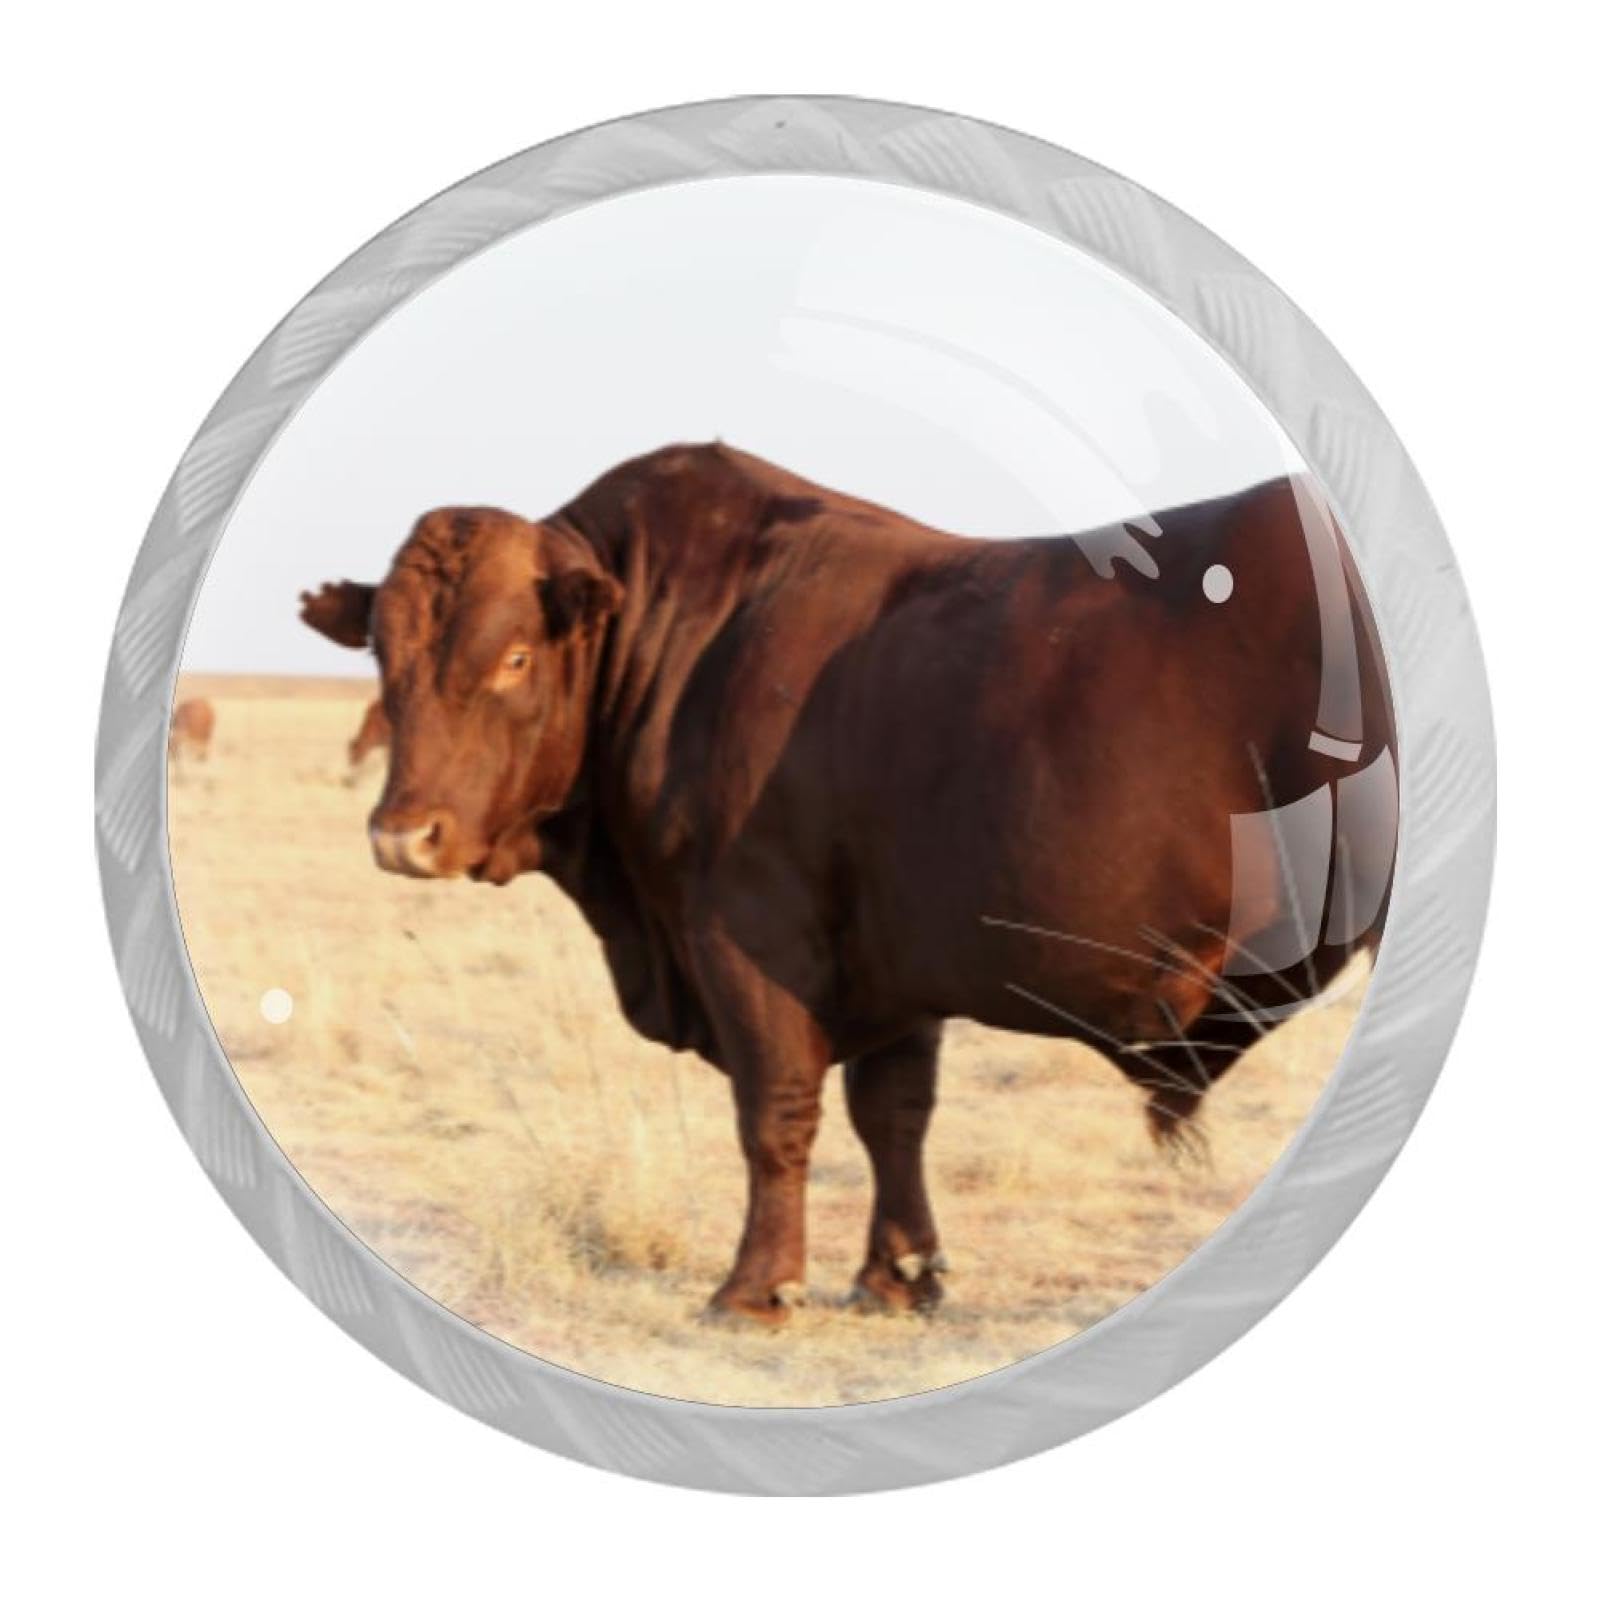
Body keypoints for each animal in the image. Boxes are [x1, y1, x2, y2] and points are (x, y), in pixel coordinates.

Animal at [299, 443, 1397, 1324]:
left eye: (515, 656)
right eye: (385, 655)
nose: (403, 836)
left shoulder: (746, 933)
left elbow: (775, 1111)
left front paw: (755, 1287)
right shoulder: (892, 956)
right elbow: (894, 1113)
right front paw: (897, 1276)